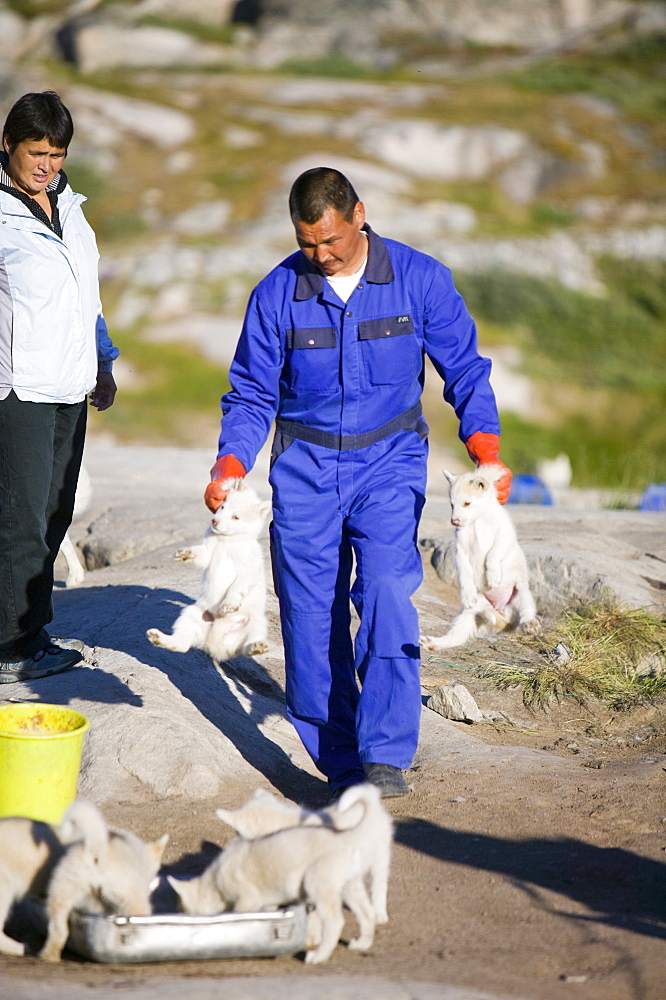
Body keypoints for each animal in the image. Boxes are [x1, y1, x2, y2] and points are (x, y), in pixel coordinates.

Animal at [420, 466, 540, 652]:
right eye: (452, 505)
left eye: (467, 503)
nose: (454, 521)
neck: (478, 520)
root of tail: (502, 612)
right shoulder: (460, 550)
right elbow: (464, 573)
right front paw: (467, 593)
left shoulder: (504, 534)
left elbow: (492, 555)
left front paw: (492, 576)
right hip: (468, 615)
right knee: (454, 637)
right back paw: (432, 643)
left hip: (521, 595)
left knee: (526, 613)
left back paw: (530, 625)